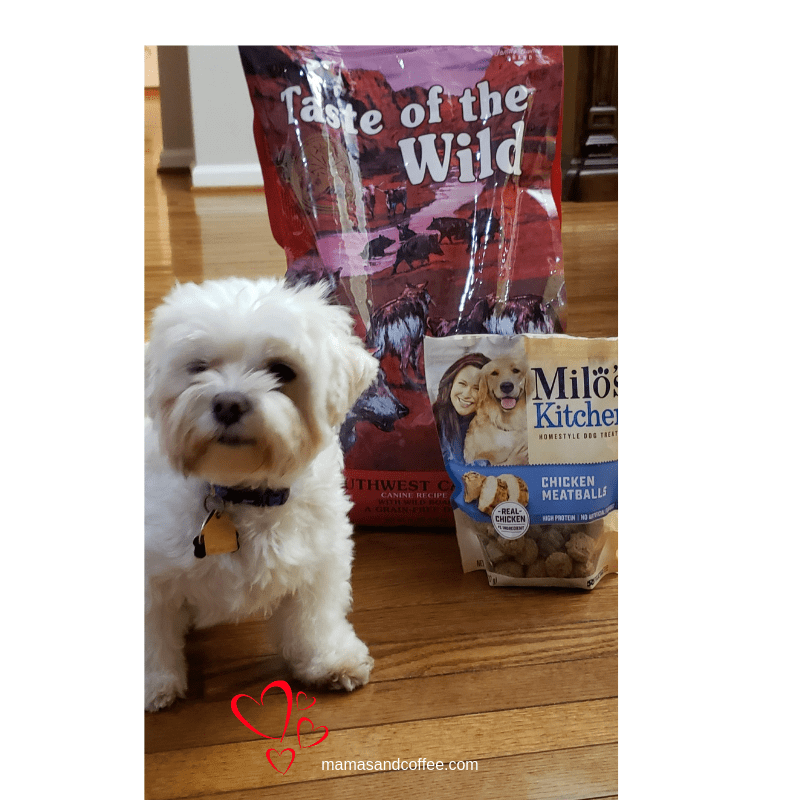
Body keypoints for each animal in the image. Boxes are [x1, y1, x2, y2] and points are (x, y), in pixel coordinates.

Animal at [145, 276, 378, 712]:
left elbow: (315, 619)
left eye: (282, 369)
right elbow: (152, 637)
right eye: (198, 368)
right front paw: (154, 682)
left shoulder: (319, 558)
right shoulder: (150, 575)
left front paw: (329, 660)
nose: (228, 403)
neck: (242, 492)